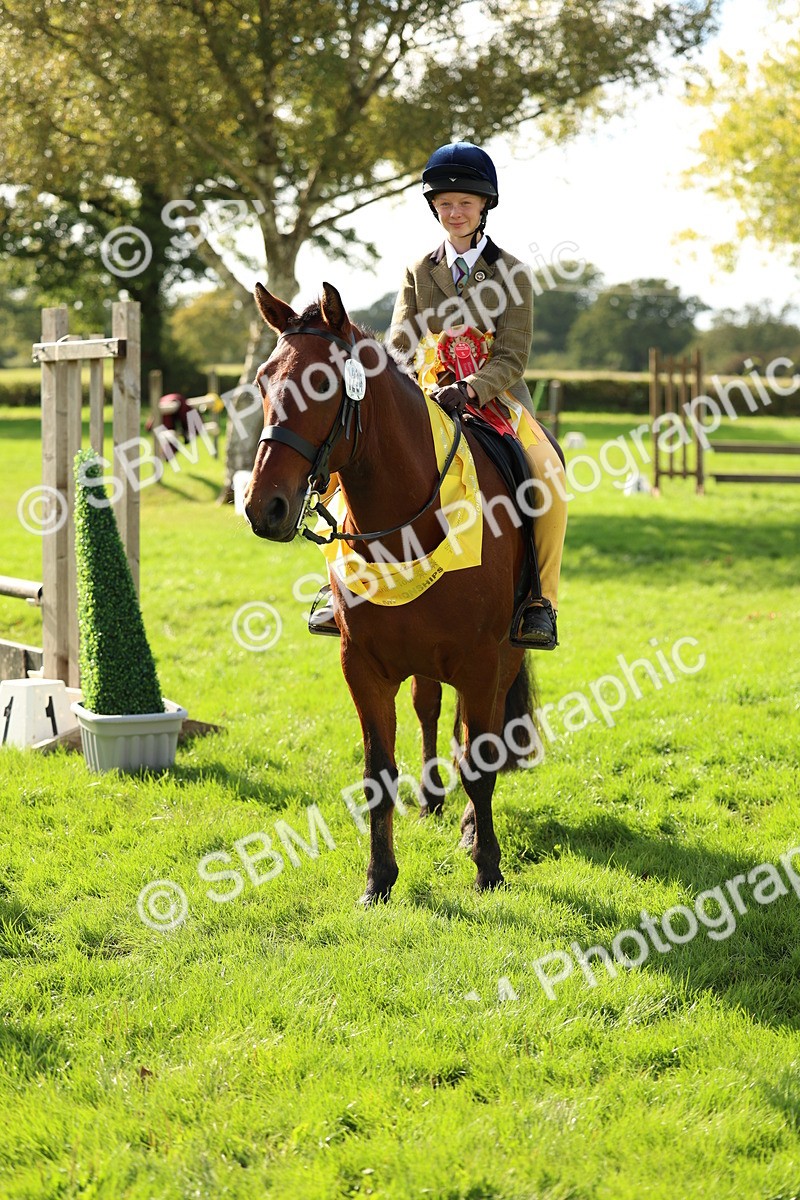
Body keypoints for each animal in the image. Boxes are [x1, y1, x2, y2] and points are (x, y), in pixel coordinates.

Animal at [244, 281, 539, 905]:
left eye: (323, 384)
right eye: (261, 380)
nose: (264, 507)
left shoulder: (481, 662)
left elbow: (480, 761)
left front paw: (487, 867)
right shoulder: (362, 665)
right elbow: (377, 772)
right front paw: (378, 879)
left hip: (504, 656)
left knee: (480, 735)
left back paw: (469, 825)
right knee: (430, 709)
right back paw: (431, 800)